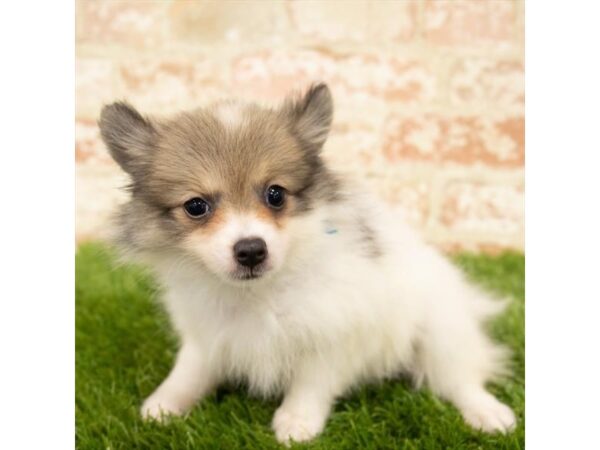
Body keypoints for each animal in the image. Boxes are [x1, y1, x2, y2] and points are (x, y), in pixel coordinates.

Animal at [99, 82, 516, 442]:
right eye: (196, 206)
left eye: (275, 194)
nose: (251, 250)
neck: (257, 294)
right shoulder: (207, 334)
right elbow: (189, 371)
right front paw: (163, 406)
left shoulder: (332, 333)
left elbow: (311, 384)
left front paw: (297, 422)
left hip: (440, 331)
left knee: (459, 378)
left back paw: (488, 413)